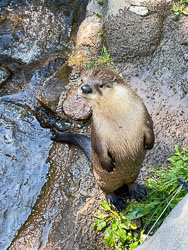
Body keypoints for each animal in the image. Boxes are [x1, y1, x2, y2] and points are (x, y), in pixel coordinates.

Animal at [51, 68, 154, 211]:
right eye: (82, 80)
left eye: (100, 85)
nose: (85, 88)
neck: (120, 120)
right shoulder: (98, 130)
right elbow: (99, 147)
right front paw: (107, 164)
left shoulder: (144, 114)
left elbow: (150, 129)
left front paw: (150, 144)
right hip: (101, 179)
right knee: (107, 190)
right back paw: (115, 200)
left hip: (134, 172)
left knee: (130, 182)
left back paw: (137, 191)